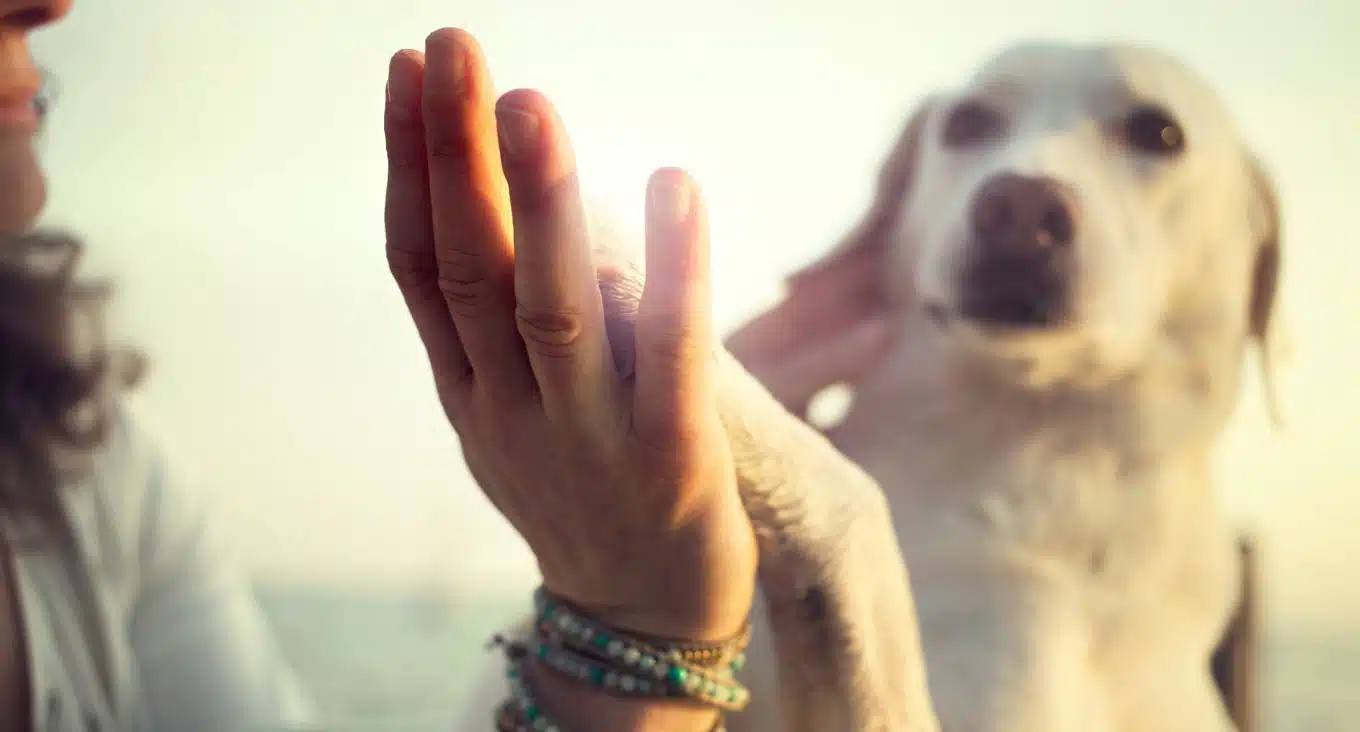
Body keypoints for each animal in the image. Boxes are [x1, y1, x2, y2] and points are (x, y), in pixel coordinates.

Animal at [456, 42, 1272, 729]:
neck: (1005, 450)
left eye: (1158, 134)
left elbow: (856, 508)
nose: (1020, 207)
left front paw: (621, 258)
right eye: (970, 123)